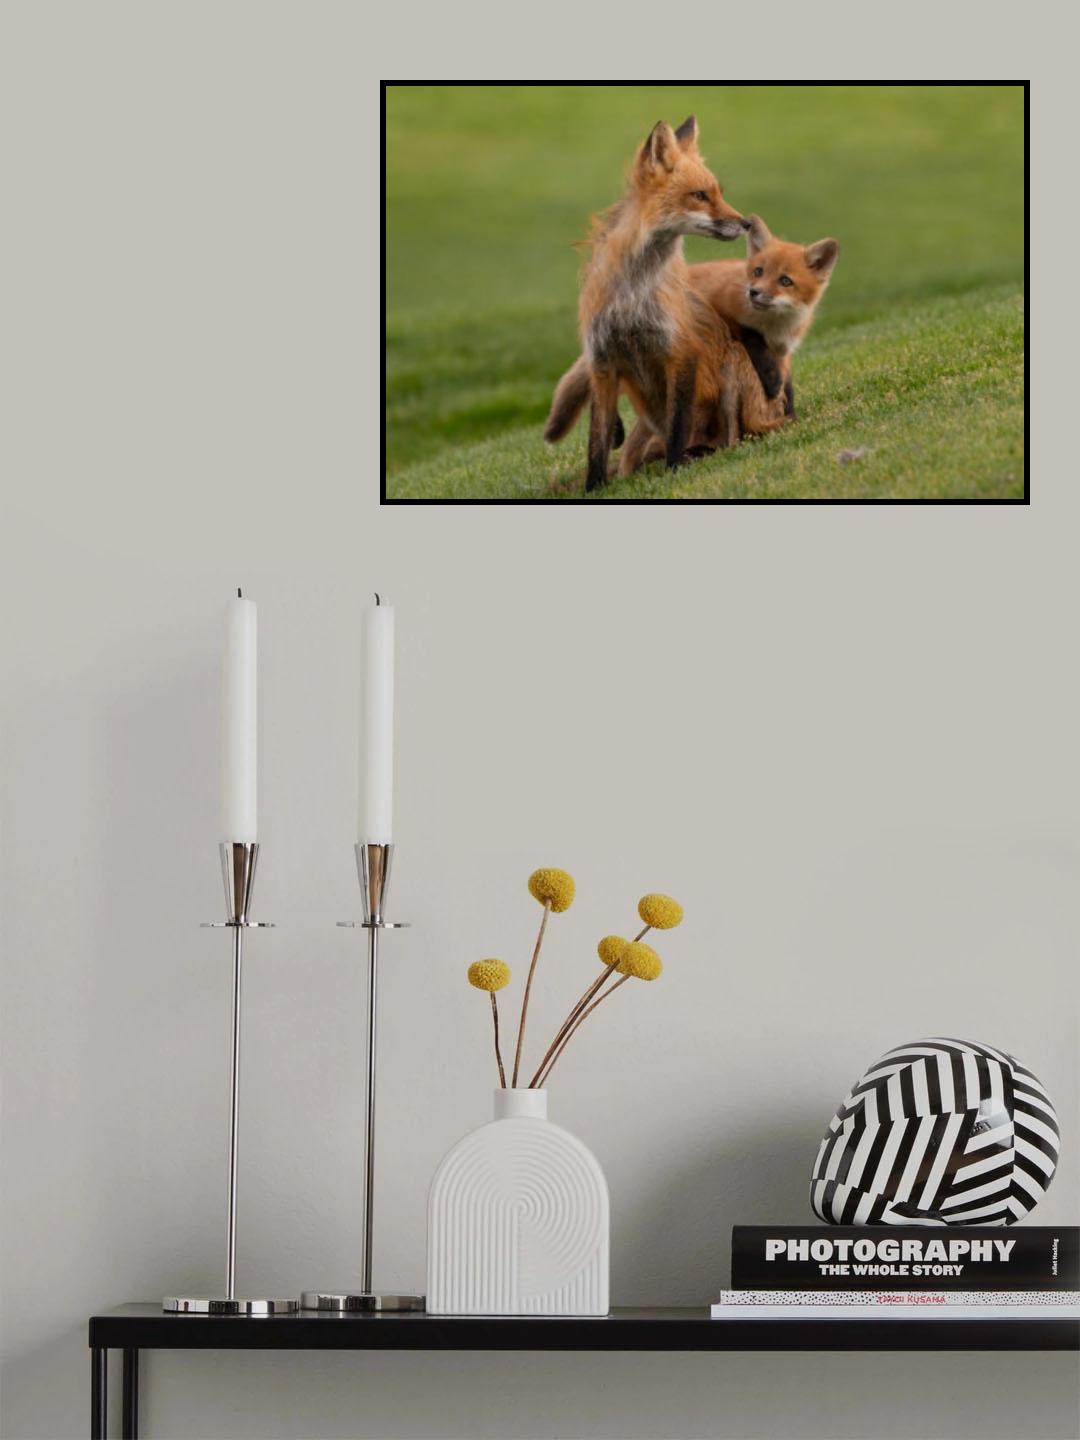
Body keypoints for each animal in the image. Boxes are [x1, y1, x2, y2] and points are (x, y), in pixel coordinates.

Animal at [546, 214, 840, 468]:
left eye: (785, 281)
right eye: (758, 271)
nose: (754, 292)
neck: (775, 325)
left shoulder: (783, 348)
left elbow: (787, 385)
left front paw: (786, 407)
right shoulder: (720, 308)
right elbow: (753, 341)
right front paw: (771, 381)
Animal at [565, 115, 786, 493]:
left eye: (719, 192)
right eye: (699, 196)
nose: (744, 223)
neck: (632, 297)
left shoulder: (680, 351)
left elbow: (677, 423)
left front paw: (674, 469)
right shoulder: (602, 361)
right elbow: (597, 441)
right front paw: (594, 488)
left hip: (734, 366)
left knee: (733, 436)